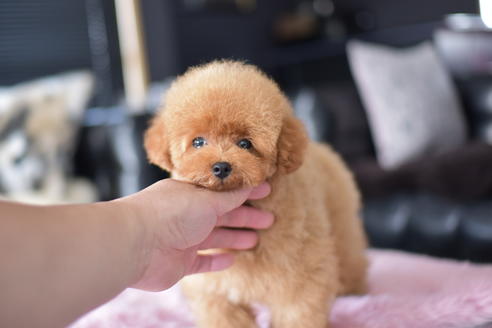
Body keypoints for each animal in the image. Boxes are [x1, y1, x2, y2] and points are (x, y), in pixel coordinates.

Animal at [144, 60, 368, 326]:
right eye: (198, 142)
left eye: (245, 144)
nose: (221, 167)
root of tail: (321, 148)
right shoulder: (214, 289)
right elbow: (225, 315)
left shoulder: (301, 277)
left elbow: (298, 310)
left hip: (341, 222)